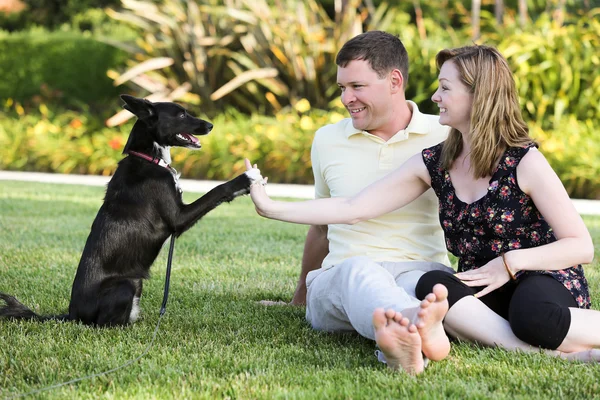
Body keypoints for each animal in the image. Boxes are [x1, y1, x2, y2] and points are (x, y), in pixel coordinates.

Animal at [0, 95, 262, 326]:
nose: (210, 125)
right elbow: (216, 191)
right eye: (181, 114)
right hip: (125, 284)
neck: (148, 157)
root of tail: (72, 315)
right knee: (104, 324)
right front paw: (246, 179)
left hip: (136, 283)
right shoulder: (178, 218)